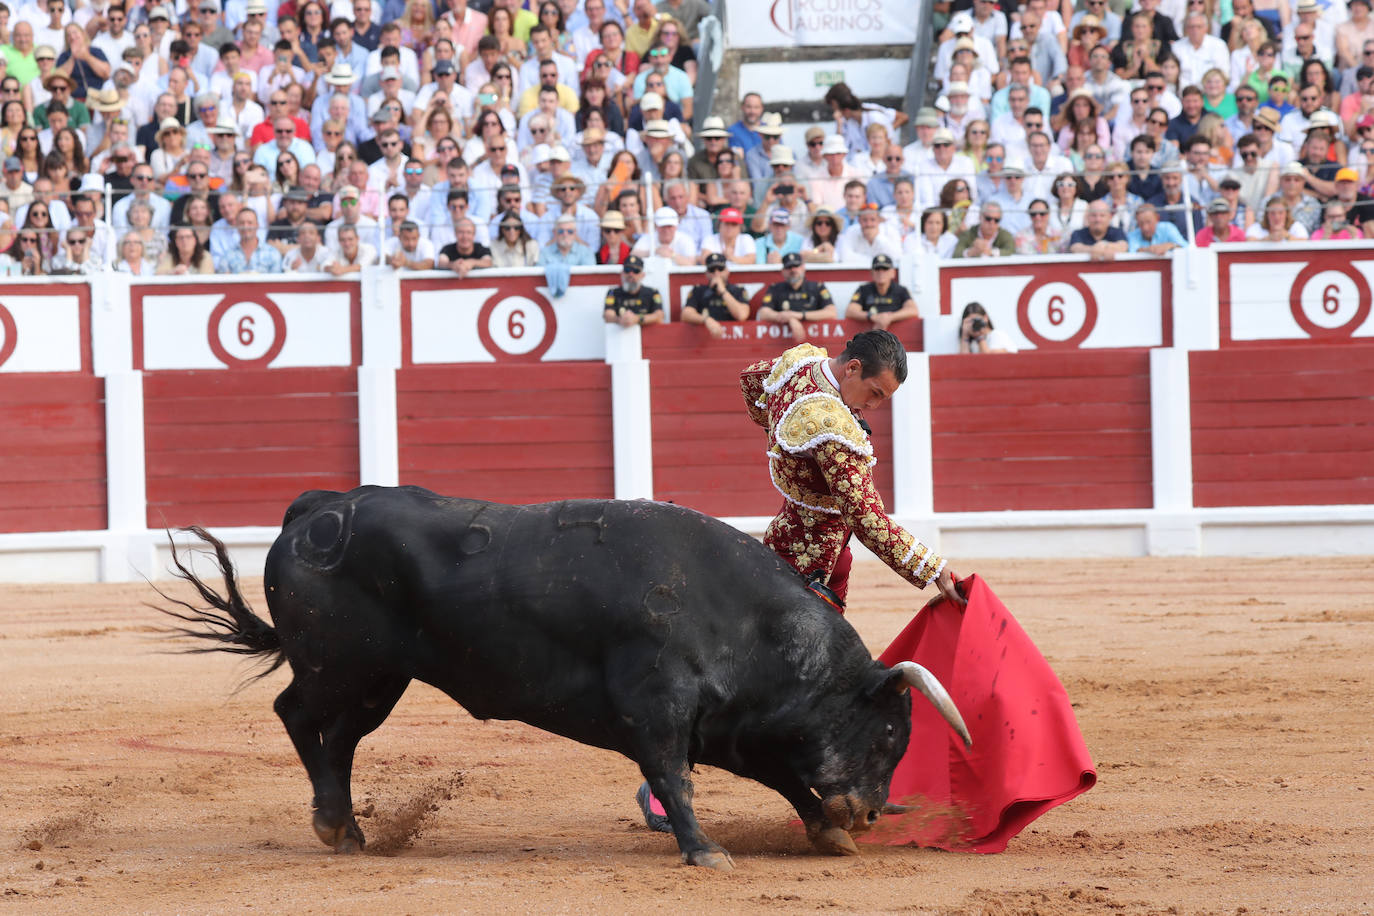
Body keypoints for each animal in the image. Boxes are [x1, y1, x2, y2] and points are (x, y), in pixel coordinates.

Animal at [160, 483, 967, 873]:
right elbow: (673, 777)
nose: (869, 813)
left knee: (340, 738)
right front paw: (705, 851)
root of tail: (318, 509)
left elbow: (784, 778)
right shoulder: (658, 707)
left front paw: (826, 836)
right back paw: (334, 823)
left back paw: (350, 830)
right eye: (888, 735)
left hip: (379, 680)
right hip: (341, 665)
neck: (744, 619)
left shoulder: (738, 727)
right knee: (297, 714)